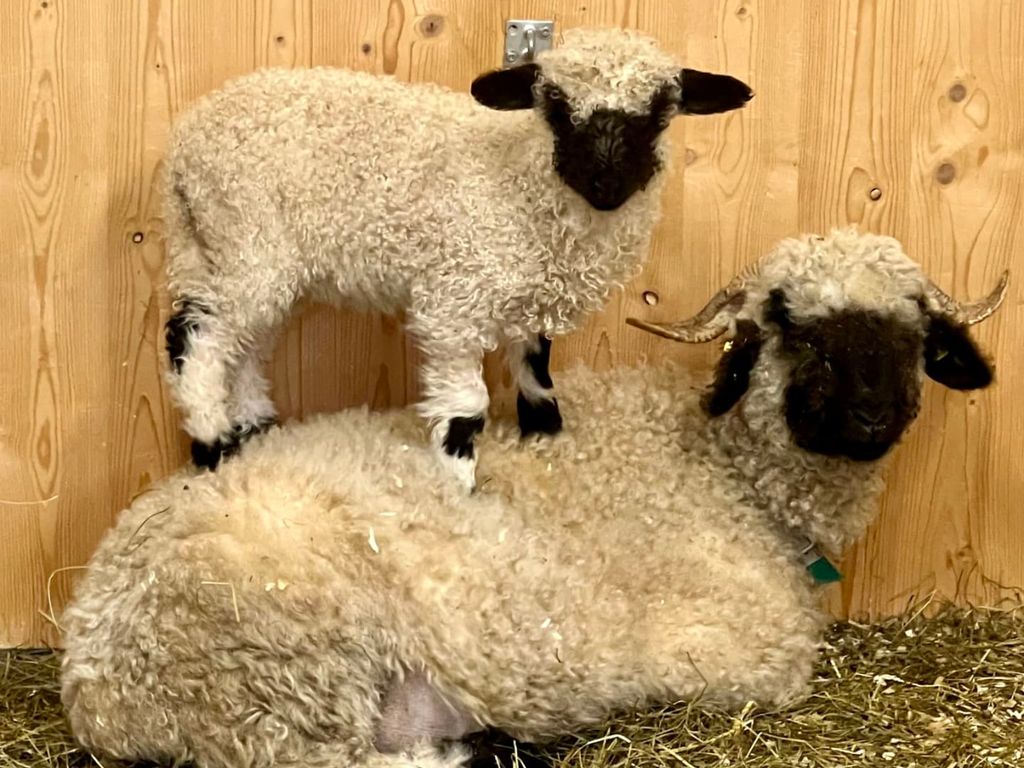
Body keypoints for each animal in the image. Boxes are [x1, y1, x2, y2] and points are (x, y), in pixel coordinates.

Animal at [63, 228, 1007, 768]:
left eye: (914, 328)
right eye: (791, 327)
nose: (872, 415)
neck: (726, 470)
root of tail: (92, 670)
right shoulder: (743, 654)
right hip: (290, 669)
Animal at [162, 26, 753, 489]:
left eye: (659, 113)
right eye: (556, 107)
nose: (605, 184)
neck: (521, 185)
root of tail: (180, 149)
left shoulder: (528, 290)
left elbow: (536, 371)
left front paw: (547, 439)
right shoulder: (454, 301)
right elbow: (466, 408)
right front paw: (459, 487)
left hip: (242, 252)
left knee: (245, 345)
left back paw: (254, 427)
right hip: (248, 236)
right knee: (195, 336)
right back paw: (213, 442)